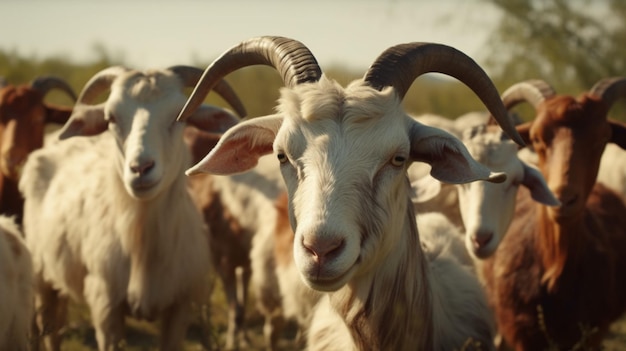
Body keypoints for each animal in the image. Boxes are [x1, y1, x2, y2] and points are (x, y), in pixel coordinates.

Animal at [19, 64, 244, 350]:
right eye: (111, 118)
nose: (140, 168)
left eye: (180, 116)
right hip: (41, 278)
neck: (142, 243)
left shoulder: (179, 308)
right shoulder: (105, 306)